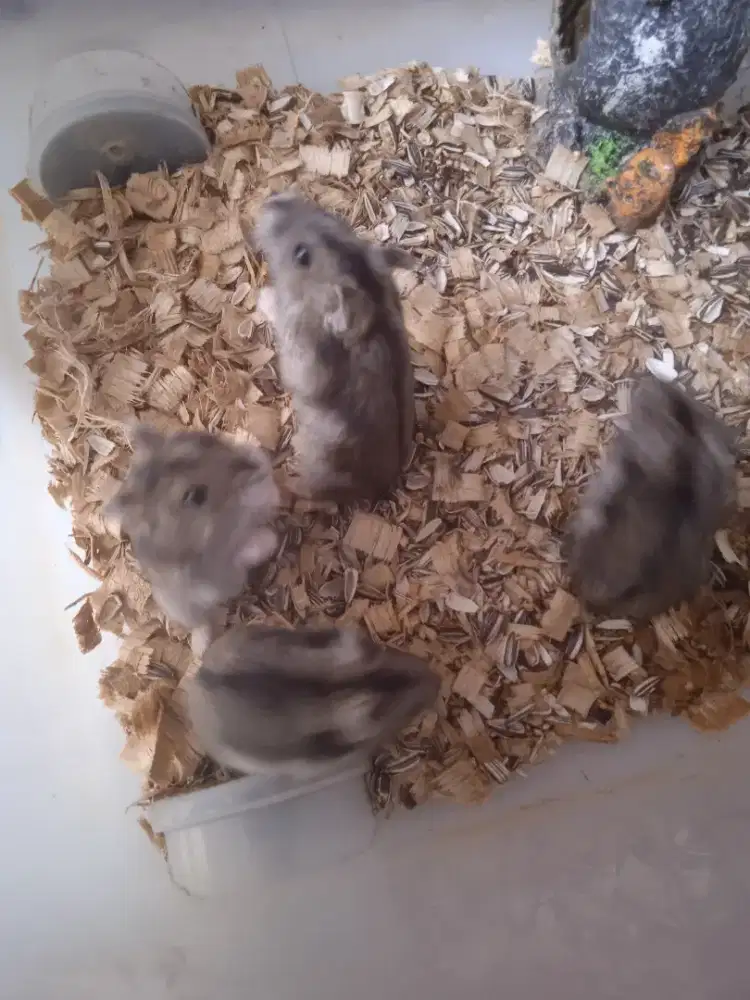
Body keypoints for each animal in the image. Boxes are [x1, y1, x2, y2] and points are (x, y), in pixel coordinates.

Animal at [105, 425, 280, 650]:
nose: (250, 467)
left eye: (207, 439)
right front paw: (268, 537)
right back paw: (201, 648)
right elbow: (248, 548)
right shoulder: (220, 566)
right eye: (196, 495)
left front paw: (257, 459)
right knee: (201, 623)